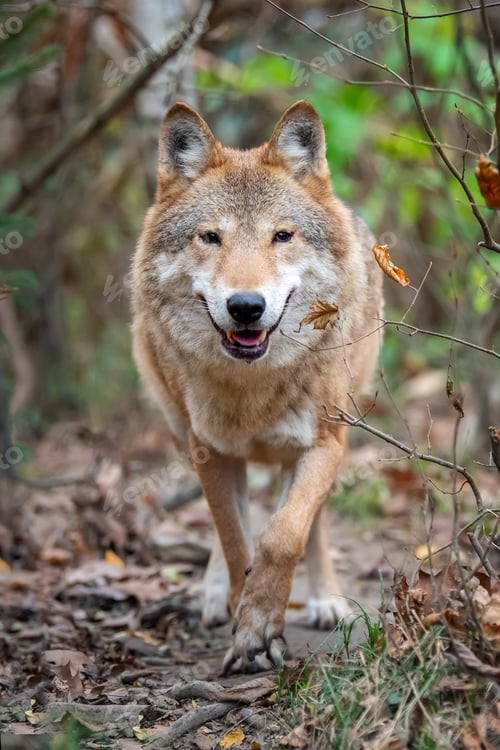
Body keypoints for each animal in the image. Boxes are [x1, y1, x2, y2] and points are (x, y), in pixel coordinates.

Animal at [131, 100, 383, 673]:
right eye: (211, 237)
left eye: (281, 236)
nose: (246, 306)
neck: (254, 385)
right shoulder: (211, 452)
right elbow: (234, 540)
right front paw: (247, 627)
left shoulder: (324, 443)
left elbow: (284, 535)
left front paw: (263, 623)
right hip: (179, 428)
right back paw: (212, 595)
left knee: (313, 522)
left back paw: (326, 600)